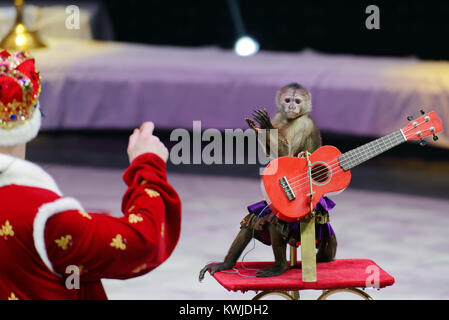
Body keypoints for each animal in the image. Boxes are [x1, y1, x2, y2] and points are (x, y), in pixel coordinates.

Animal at [199, 82, 336, 280]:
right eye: (287, 100)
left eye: (297, 101)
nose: (291, 107)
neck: (291, 119)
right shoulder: (280, 116)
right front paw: (259, 128)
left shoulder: (302, 123)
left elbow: (288, 155)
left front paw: (266, 125)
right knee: (256, 216)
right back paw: (226, 264)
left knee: (275, 220)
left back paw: (280, 266)